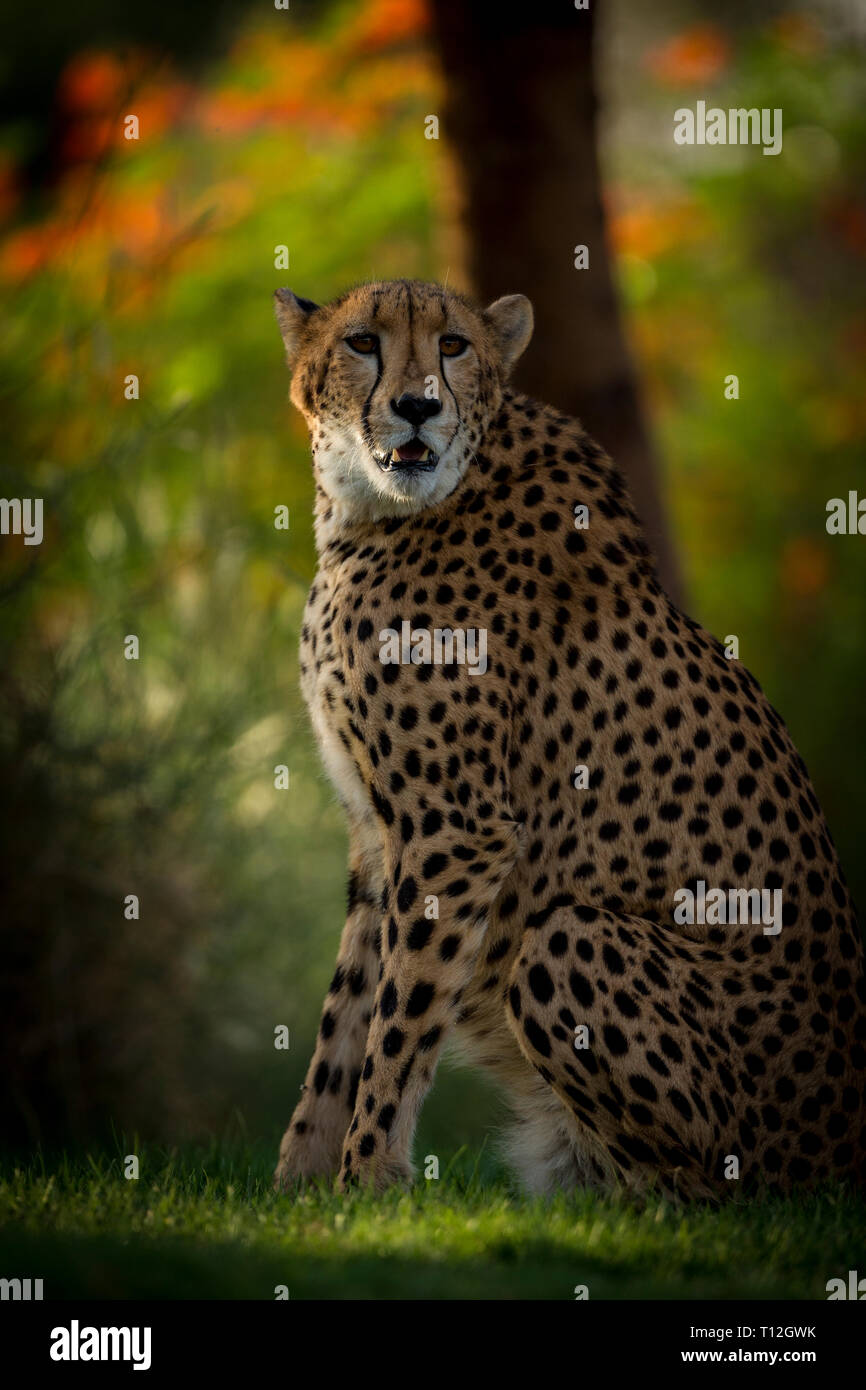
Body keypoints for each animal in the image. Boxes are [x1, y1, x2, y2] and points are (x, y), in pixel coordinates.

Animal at [271, 276, 866, 1200]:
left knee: (705, 1194)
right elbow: (344, 1024)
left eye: (454, 346)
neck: (373, 510)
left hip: (572, 941)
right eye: (363, 343)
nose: (416, 407)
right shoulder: (379, 835)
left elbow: (398, 1026)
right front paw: (302, 1188)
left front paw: (367, 1177)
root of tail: (838, 1154)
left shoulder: (456, 832)